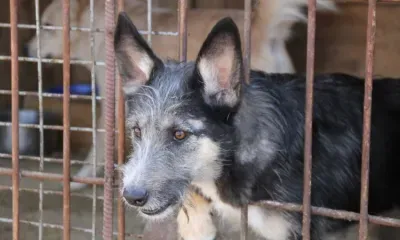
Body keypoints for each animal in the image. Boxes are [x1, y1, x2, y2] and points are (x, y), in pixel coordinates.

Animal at [25, 0, 334, 191]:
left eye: (48, 26)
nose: (27, 50)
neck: (96, 28)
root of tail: (259, 28)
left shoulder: (112, 106)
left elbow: (99, 144)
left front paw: (80, 179)